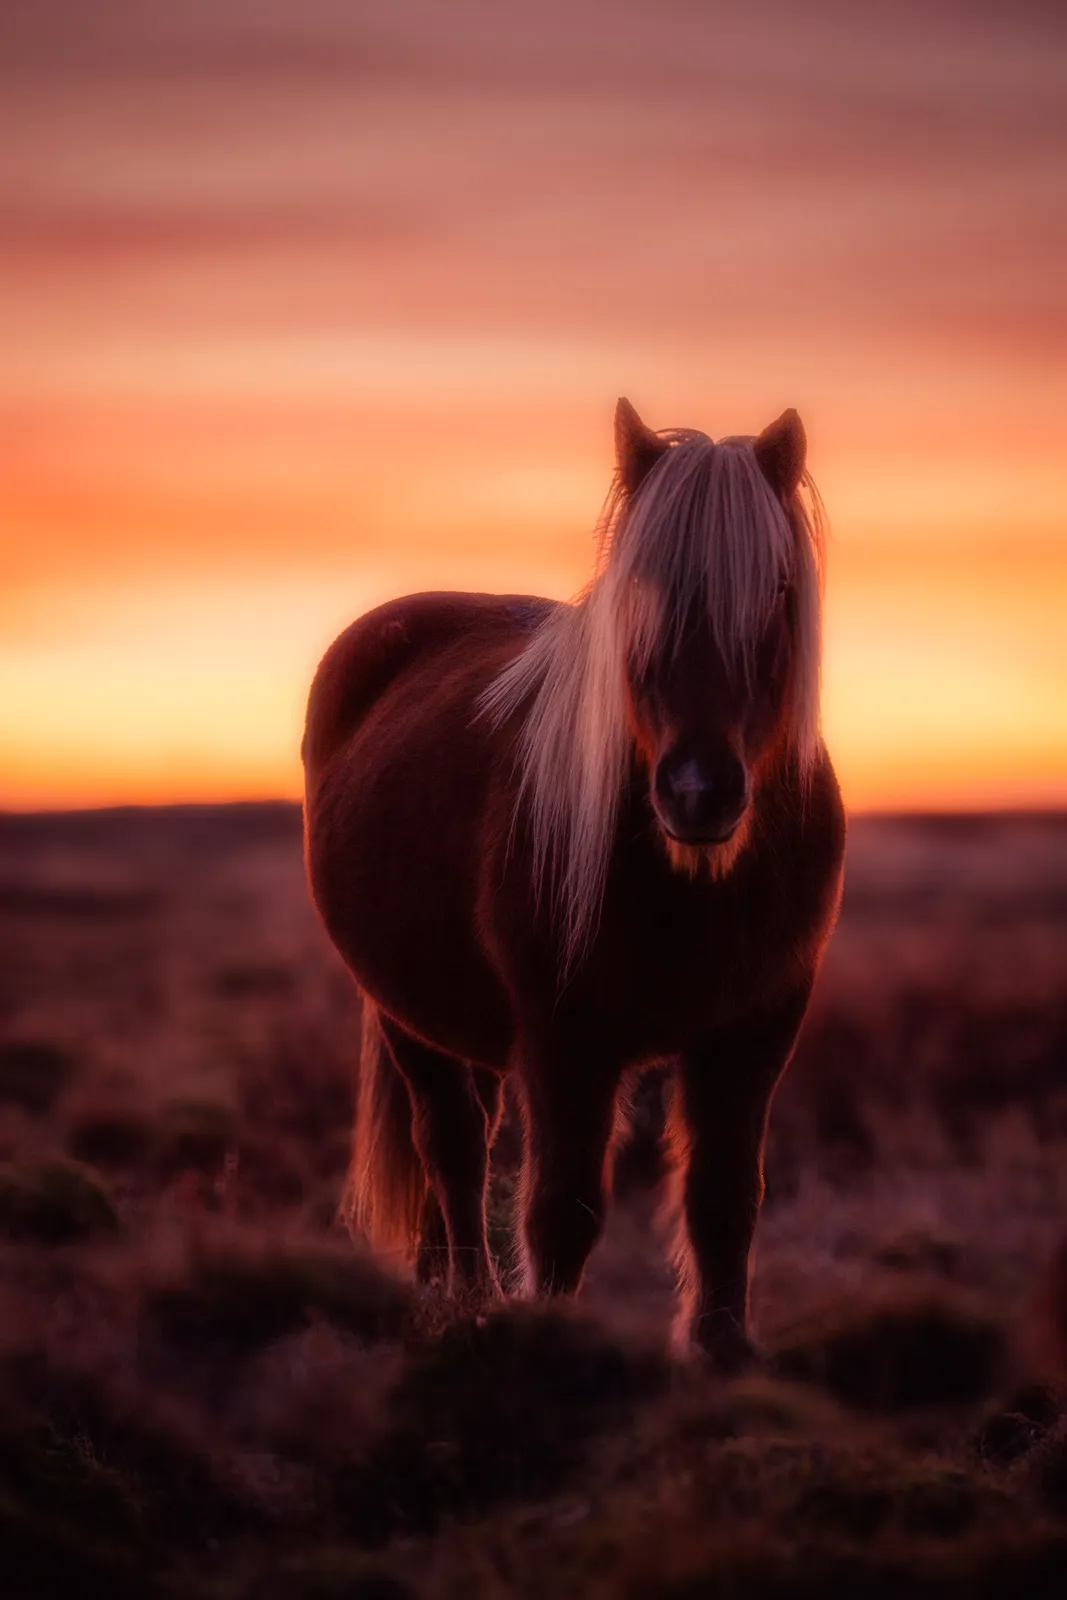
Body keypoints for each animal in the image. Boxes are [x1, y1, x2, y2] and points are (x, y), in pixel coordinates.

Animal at [302, 398, 845, 1367]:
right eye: (638, 594)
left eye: (777, 594)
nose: (698, 790)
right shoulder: (565, 1042)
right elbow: (562, 1209)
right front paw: (546, 1343)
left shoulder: (755, 1031)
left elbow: (723, 1197)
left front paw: (722, 1352)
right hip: (406, 1013)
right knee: (451, 1145)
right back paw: (464, 1302)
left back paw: (441, 1291)